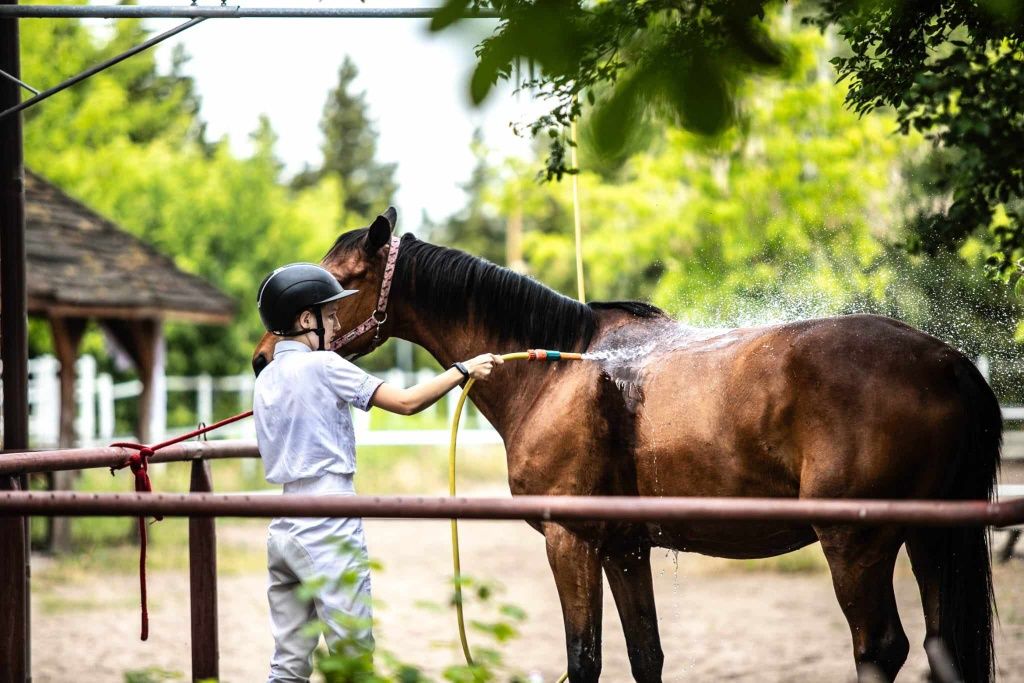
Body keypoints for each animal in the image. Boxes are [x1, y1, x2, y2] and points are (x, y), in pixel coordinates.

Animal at [249, 210, 999, 679]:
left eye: (342, 279)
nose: (261, 356)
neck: (559, 365)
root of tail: (949, 363)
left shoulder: (571, 541)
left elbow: (584, 661)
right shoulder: (624, 547)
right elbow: (646, 656)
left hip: (858, 546)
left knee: (881, 648)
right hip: (932, 540)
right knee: (942, 646)